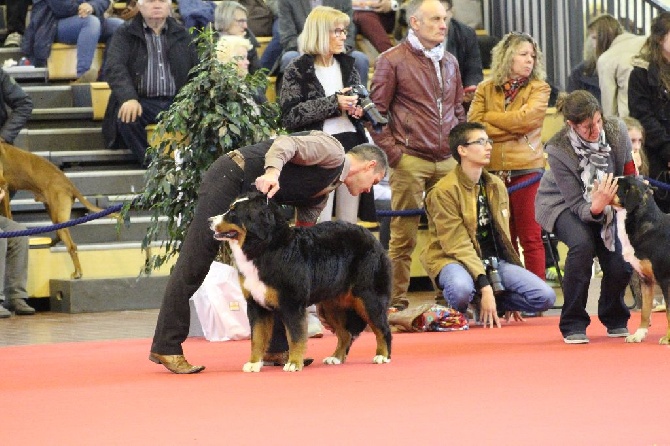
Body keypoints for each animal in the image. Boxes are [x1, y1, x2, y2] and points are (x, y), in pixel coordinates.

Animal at [0, 142, 115, 278]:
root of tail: (69, 184)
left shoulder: (4, 187)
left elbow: (7, 215)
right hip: (53, 213)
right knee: (62, 237)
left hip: (58, 216)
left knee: (71, 246)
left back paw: (77, 272)